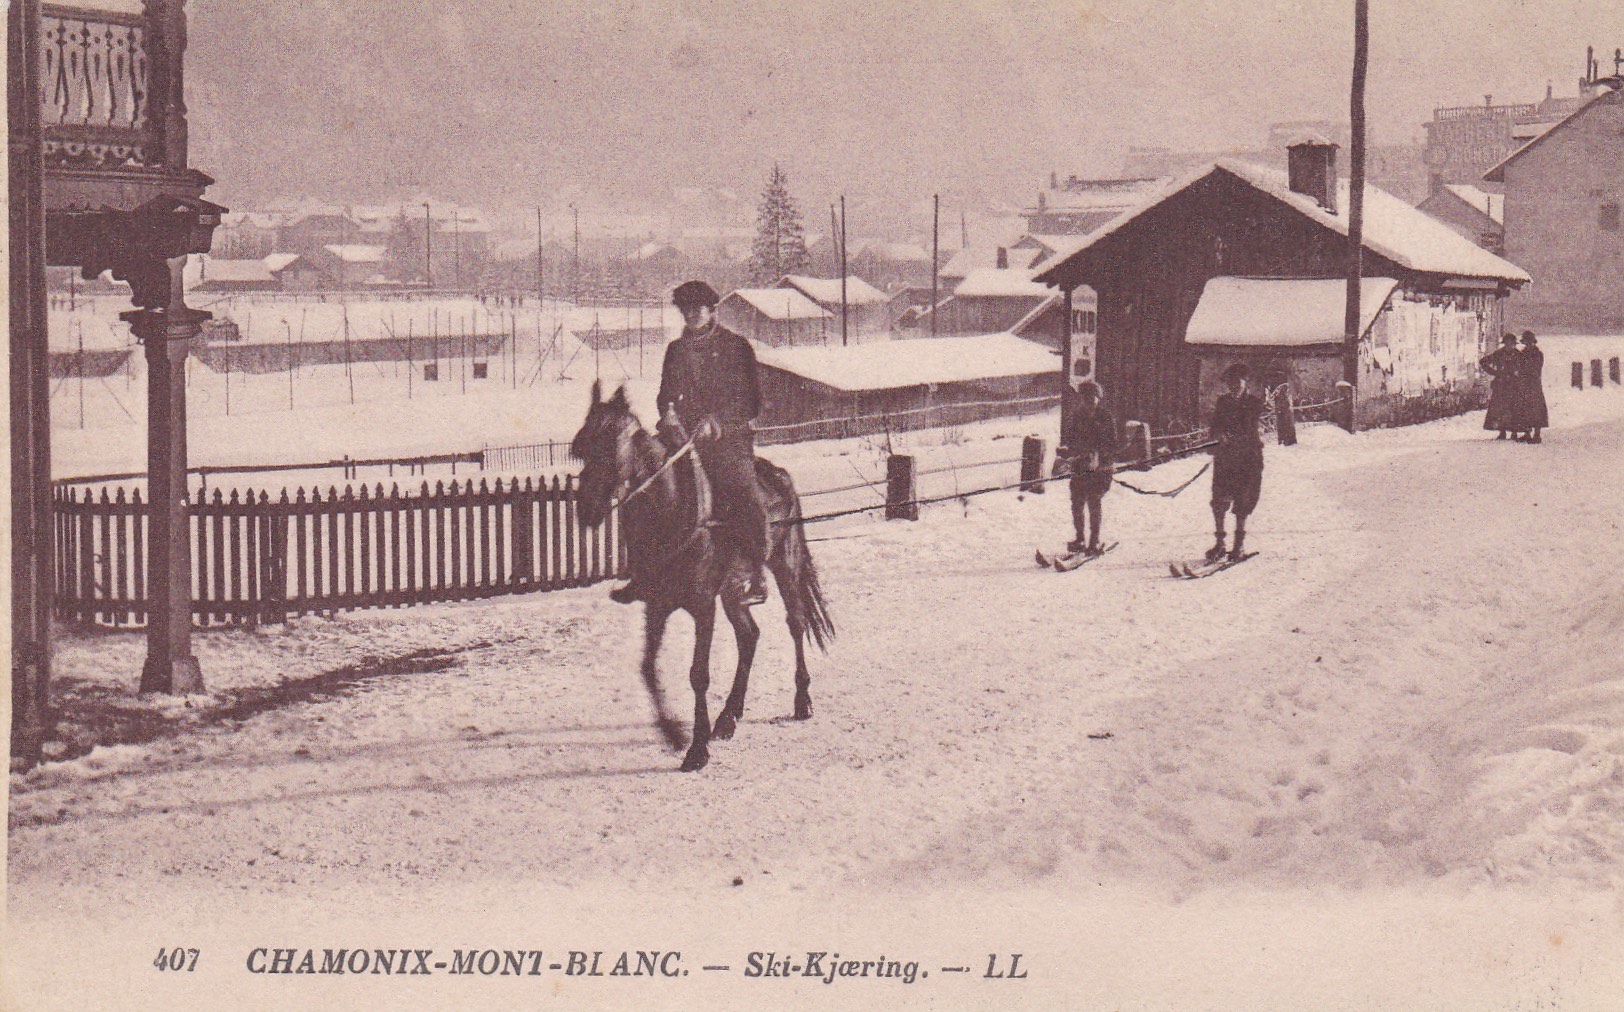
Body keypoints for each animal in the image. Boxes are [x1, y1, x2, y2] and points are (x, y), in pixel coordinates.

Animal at [570, 382, 834, 771]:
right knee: (749, 636)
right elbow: (647, 668)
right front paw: (673, 733)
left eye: (613, 444)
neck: (670, 515)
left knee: (796, 623)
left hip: (784, 566)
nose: (587, 507)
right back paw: (728, 717)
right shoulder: (657, 605)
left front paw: (696, 748)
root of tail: (778, 473)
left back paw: (802, 701)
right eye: (583, 446)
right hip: (732, 593)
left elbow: (698, 674)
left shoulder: (703, 605)